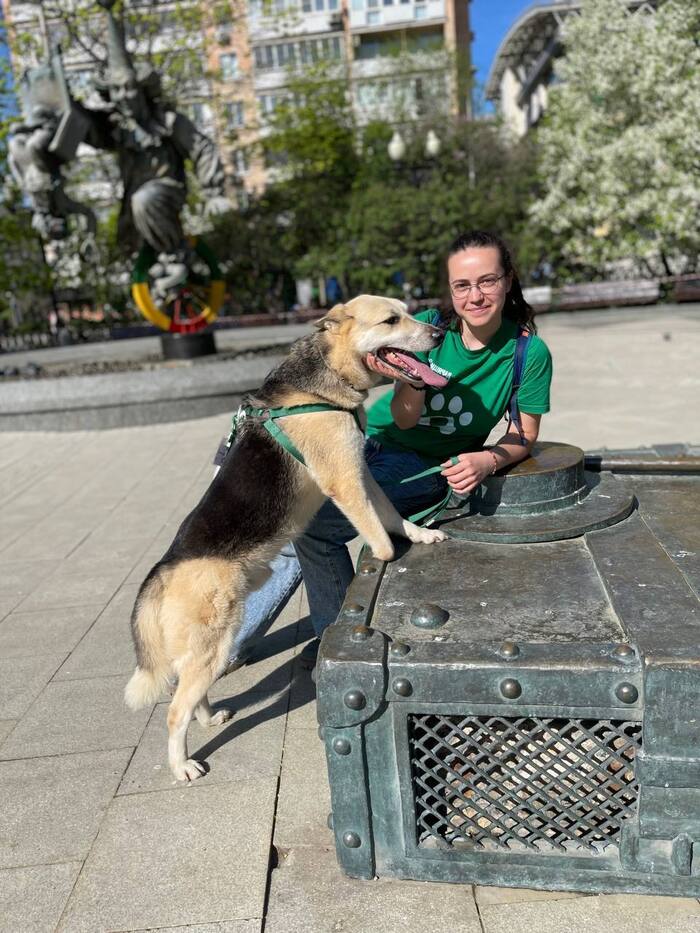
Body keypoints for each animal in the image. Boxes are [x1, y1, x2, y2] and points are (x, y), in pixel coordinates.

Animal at [124, 295, 450, 781]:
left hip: (210, 649)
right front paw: (388, 560)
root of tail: (163, 569)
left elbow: (390, 514)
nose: (440, 332)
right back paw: (182, 765)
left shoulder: (361, 470)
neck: (323, 383)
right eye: (391, 320)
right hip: (214, 645)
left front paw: (420, 534)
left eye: (408, 311)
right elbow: (378, 532)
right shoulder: (344, 480)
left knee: (188, 695)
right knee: (174, 712)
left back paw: (209, 718)